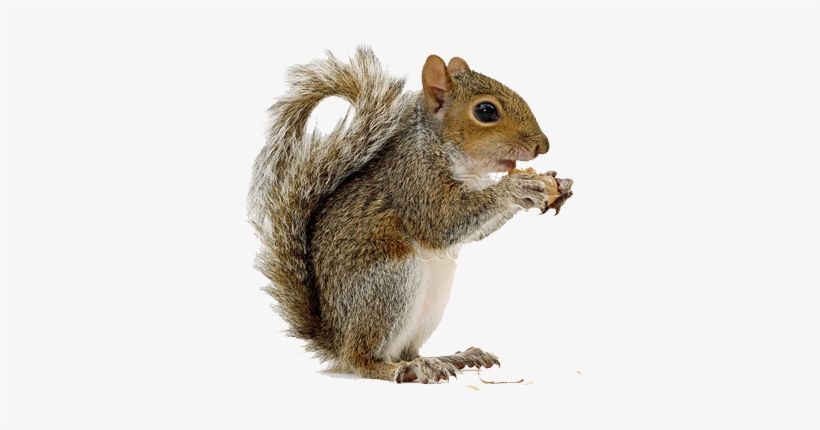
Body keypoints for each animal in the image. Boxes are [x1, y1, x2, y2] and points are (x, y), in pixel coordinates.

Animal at [248, 46, 554, 383]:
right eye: (486, 111)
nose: (542, 146)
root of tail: (336, 338)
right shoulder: (414, 182)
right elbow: (444, 221)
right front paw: (516, 187)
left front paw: (550, 183)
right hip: (388, 286)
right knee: (361, 360)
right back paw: (404, 369)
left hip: (429, 305)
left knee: (407, 349)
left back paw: (450, 358)